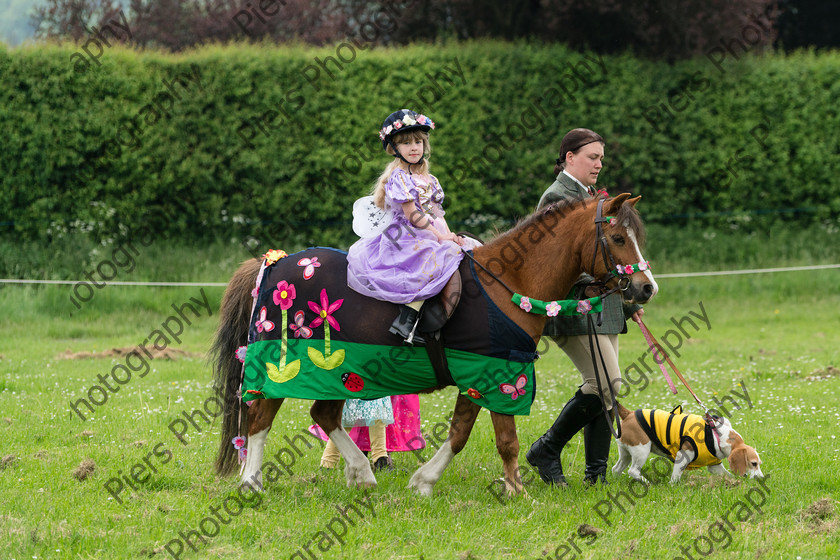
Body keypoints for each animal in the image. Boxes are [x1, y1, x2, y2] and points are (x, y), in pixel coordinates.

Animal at [208, 195, 656, 496]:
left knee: (324, 415)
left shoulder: (485, 377)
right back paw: (252, 482)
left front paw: (426, 482)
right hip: (284, 365)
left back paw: (361, 474)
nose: (645, 288)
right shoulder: (496, 374)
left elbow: (461, 433)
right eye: (618, 237)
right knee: (260, 418)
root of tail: (277, 261)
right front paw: (516, 491)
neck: (508, 283)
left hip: (338, 374)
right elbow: (504, 439)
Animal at [612, 400, 760, 484]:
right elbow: (675, 477)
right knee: (633, 471)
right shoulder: (682, 456)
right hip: (641, 451)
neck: (716, 435)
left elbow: (725, 473)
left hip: (626, 453)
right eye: (753, 463)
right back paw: (648, 483)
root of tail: (629, 414)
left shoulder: (715, 466)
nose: (761, 478)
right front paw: (674, 486)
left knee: (616, 468)